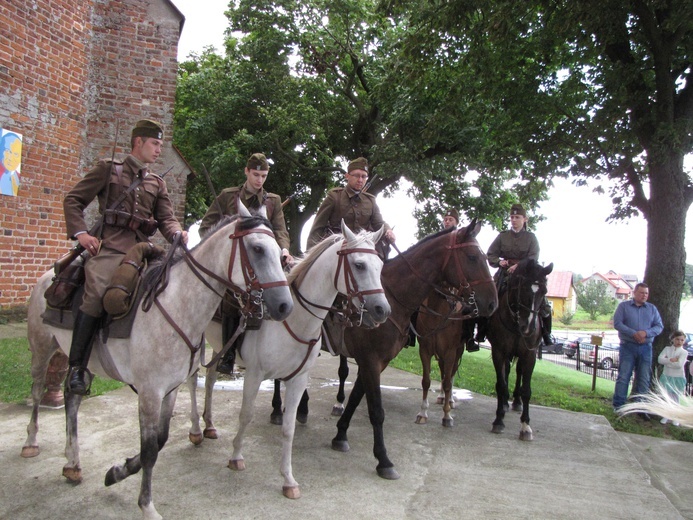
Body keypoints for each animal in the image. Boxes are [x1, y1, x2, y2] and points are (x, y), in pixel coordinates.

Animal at [21, 207, 292, 520]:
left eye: (280, 252)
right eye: (258, 249)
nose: (285, 306)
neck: (177, 305)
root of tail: (48, 275)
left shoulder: (170, 390)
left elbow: (160, 440)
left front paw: (119, 470)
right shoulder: (149, 393)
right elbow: (150, 449)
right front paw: (146, 505)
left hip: (79, 360)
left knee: (71, 397)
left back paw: (72, 463)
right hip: (42, 349)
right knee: (37, 391)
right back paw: (31, 443)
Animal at [187, 222, 390, 496]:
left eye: (380, 265)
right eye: (359, 265)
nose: (383, 310)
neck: (294, 320)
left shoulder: (298, 380)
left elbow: (289, 428)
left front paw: (288, 480)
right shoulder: (255, 374)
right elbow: (246, 415)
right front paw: (236, 456)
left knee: (209, 379)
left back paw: (209, 425)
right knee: (192, 381)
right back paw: (196, 431)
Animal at [330, 220, 498, 480]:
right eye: (472, 257)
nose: (492, 303)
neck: (391, 296)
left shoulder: (376, 362)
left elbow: (357, 398)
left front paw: (340, 435)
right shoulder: (371, 360)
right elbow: (376, 410)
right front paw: (384, 460)